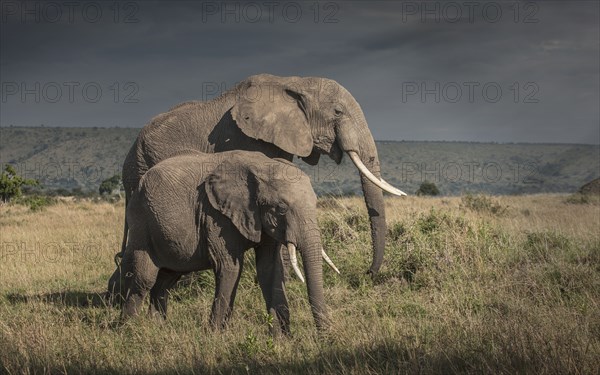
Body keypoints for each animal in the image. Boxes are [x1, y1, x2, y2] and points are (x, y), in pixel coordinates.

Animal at [109, 151, 338, 334]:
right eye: (281, 208)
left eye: (316, 203)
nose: (324, 338)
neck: (262, 165)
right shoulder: (215, 215)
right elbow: (230, 267)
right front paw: (215, 336)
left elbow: (270, 269)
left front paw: (280, 339)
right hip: (141, 221)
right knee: (144, 279)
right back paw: (127, 331)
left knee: (165, 280)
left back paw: (157, 329)